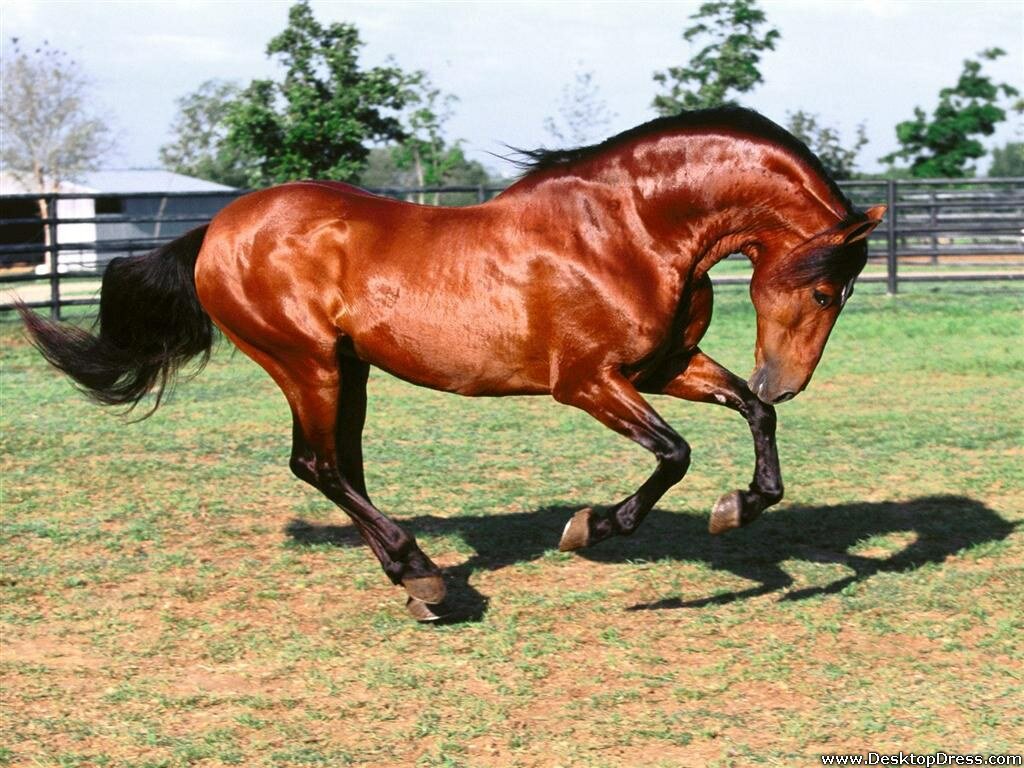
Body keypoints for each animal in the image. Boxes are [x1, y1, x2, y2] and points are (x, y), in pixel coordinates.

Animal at [19, 106, 885, 621]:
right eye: (825, 288)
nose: (788, 380)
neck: (629, 229)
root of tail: (219, 228)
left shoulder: (662, 366)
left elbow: (750, 416)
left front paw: (738, 506)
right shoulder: (588, 383)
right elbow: (674, 454)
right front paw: (592, 528)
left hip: (349, 369)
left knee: (342, 465)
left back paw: (417, 584)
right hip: (305, 362)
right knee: (317, 465)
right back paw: (423, 572)